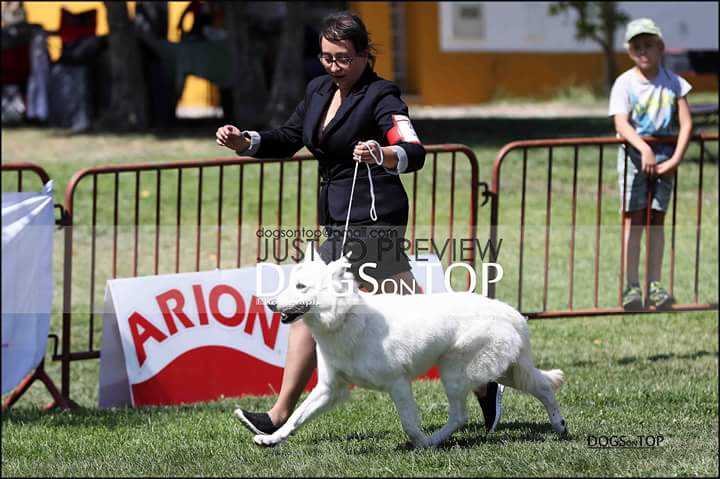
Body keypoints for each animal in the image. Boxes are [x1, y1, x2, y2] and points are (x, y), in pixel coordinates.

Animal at [242, 248, 568, 450]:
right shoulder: (329, 388)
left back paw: (434, 441)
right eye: (290, 284)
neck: (346, 318)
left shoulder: (397, 383)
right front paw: (271, 439)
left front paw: (419, 444)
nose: (270, 304)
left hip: (455, 372)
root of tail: (513, 314)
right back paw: (560, 426)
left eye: (301, 286)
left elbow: (410, 424)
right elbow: (296, 417)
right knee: (541, 387)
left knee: (461, 415)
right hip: (505, 370)